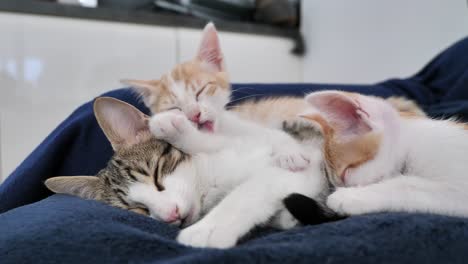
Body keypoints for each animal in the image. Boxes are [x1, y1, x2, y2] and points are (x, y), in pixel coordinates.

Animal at [45, 96, 328, 248]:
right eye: (137, 209)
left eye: (156, 174)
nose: (171, 215)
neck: (209, 185)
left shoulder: (298, 161)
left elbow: (249, 190)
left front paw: (208, 229)